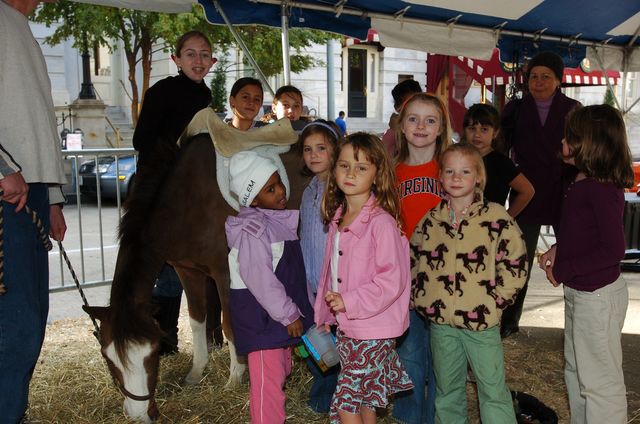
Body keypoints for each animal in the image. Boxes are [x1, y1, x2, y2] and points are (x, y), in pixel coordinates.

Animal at [84, 114, 304, 422]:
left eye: (152, 354)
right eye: (108, 358)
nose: (140, 416)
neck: (185, 202)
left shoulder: (225, 273)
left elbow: (230, 325)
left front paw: (234, 378)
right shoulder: (187, 270)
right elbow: (197, 320)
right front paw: (197, 371)